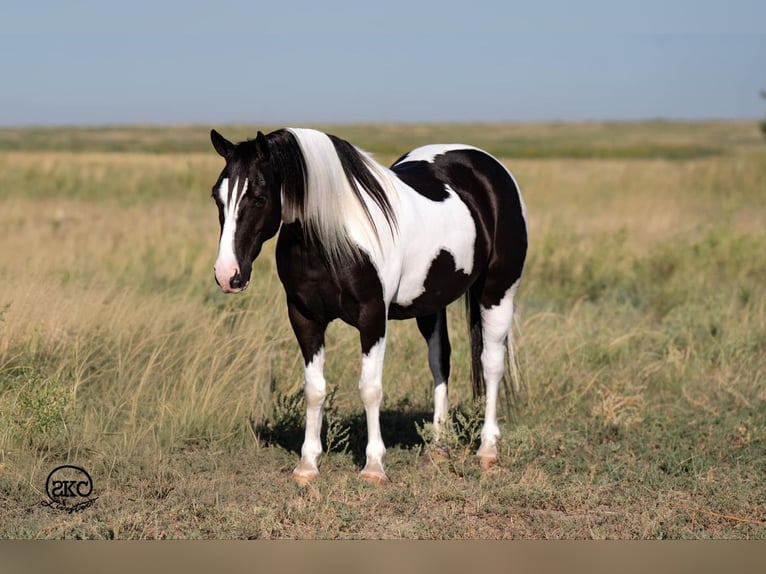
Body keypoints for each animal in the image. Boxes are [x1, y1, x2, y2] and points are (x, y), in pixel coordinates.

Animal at [209, 127, 527, 484]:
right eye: (217, 197)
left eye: (259, 198)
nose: (227, 275)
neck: (335, 236)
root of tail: (486, 165)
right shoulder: (304, 317)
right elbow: (314, 389)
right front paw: (307, 464)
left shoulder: (373, 318)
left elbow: (370, 389)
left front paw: (374, 466)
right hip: (431, 304)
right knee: (440, 362)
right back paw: (438, 446)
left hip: (498, 292)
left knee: (492, 364)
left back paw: (487, 450)